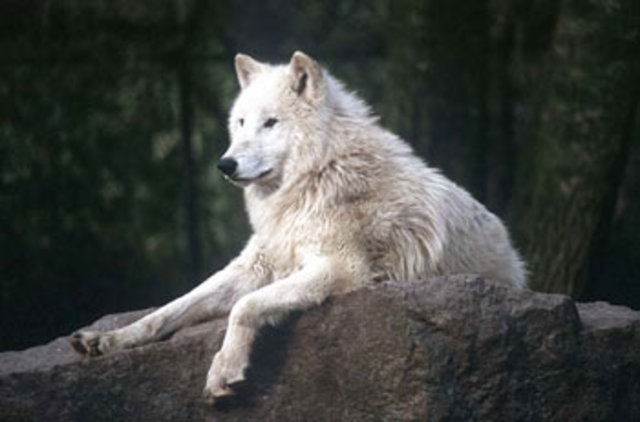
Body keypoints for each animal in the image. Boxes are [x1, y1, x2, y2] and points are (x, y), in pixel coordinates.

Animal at [71, 51, 526, 403]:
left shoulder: (339, 269)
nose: (224, 164)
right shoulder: (253, 265)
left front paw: (224, 370)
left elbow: (244, 307)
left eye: (271, 123)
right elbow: (169, 310)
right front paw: (107, 340)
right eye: (240, 122)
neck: (316, 177)